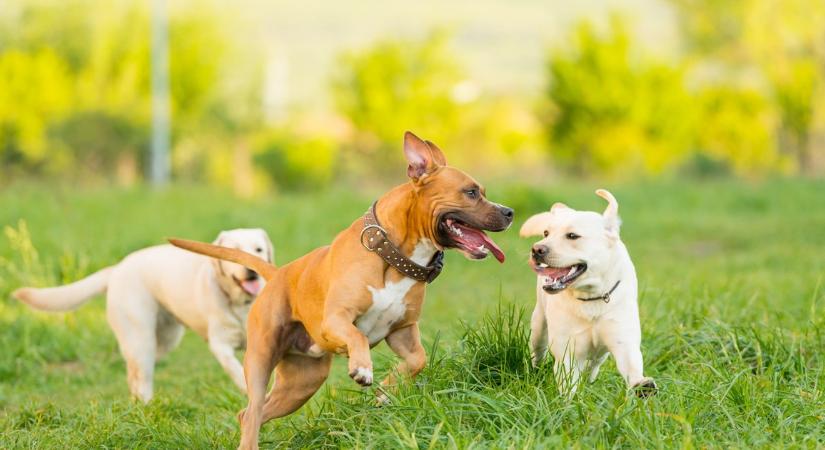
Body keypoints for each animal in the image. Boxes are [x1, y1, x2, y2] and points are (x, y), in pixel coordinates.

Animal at [12, 229, 274, 400]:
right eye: (233, 251)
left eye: (259, 249)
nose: (251, 269)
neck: (241, 303)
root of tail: (116, 269)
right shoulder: (220, 345)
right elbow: (235, 369)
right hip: (141, 338)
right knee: (142, 377)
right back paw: (146, 408)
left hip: (165, 340)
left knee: (134, 372)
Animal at [171, 132, 512, 448]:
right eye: (471, 192)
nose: (508, 212)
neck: (391, 255)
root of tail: (278, 273)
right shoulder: (336, 320)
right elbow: (357, 335)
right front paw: (362, 368)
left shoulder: (403, 331)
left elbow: (419, 359)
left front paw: (386, 391)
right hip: (260, 359)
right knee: (253, 409)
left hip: (301, 384)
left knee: (249, 414)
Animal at [520, 190, 656, 398]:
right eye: (546, 233)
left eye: (572, 236)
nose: (536, 249)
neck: (591, 296)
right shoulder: (567, 352)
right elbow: (568, 384)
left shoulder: (623, 341)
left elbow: (632, 369)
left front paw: (642, 386)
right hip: (539, 326)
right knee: (537, 352)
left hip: (601, 353)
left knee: (594, 363)